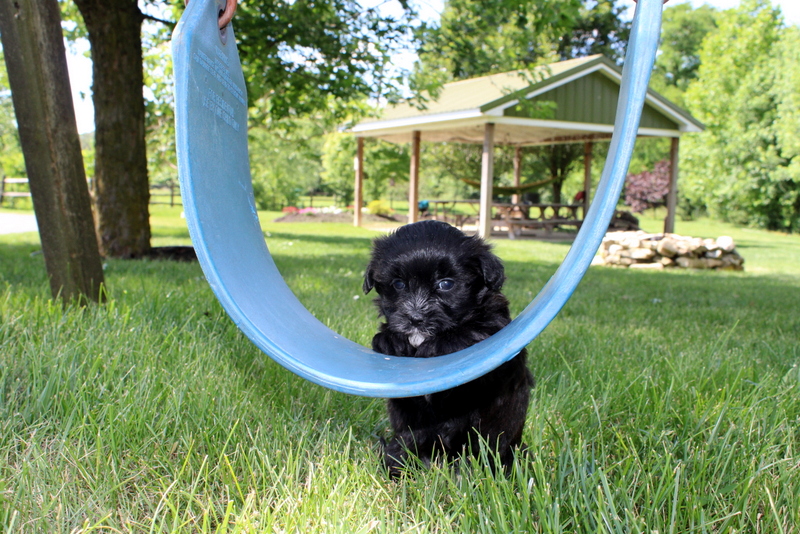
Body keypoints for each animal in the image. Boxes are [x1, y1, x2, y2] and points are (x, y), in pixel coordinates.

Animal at [366, 220, 536, 480]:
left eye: (445, 284)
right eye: (398, 284)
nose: (415, 319)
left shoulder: (495, 338)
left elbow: (472, 332)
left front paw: (433, 347)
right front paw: (392, 341)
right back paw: (398, 463)